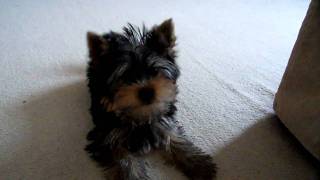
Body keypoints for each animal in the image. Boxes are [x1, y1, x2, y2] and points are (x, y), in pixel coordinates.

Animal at [85, 19, 215, 179]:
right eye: (126, 76)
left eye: (154, 71)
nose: (147, 91)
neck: (140, 115)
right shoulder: (108, 136)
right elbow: (124, 161)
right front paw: (132, 175)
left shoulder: (163, 118)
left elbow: (173, 136)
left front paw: (199, 164)